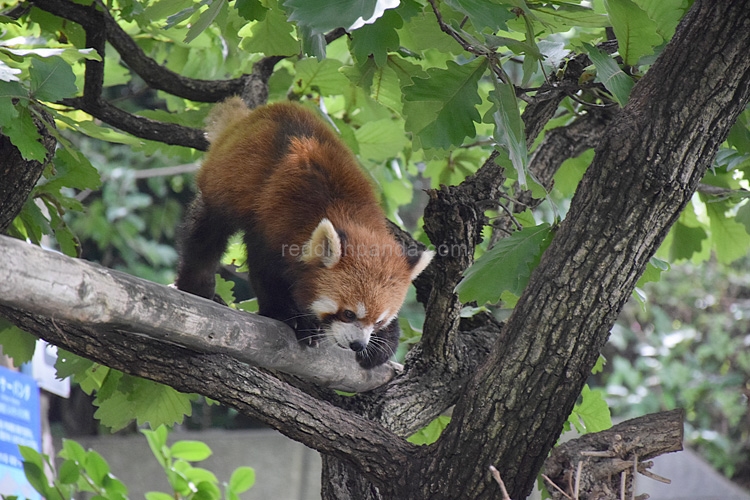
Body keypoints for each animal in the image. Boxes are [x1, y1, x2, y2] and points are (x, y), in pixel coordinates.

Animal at [176, 99, 434, 370]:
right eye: (348, 313)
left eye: (378, 321)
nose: (358, 344)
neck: (343, 212)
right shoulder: (272, 227)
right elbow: (266, 273)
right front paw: (290, 317)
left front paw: (383, 343)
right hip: (226, 182)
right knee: (206, 236)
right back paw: (197, 288)